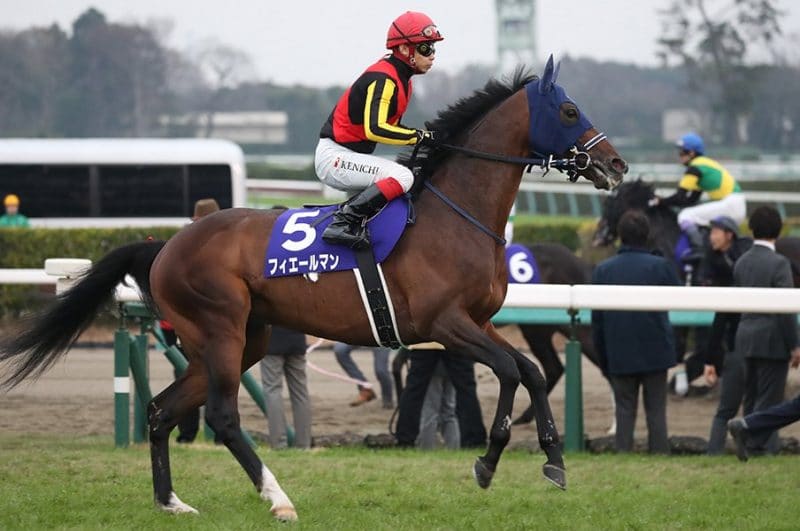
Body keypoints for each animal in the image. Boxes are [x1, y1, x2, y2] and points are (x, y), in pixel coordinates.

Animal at [0, 58, 627, 522]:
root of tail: (167, 245)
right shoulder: (444, 324)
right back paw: (278, 499)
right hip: (220, 330)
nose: (616, 164)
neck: (456, 213)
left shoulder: (478, 321)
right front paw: (499, 460)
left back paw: (171, 502)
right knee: (223, 417)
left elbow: (527, 372)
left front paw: (540, 460)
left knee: (160, 410)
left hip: (240, 339)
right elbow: (511, 371)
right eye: (569, 109)